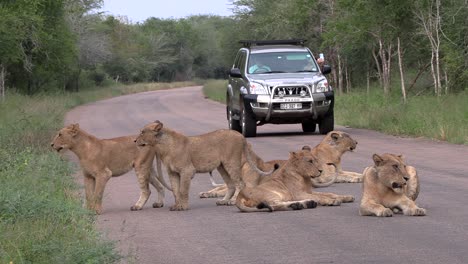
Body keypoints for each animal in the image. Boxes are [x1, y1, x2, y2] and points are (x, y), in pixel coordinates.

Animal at [133, 121, 272, 210]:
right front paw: (176, 205)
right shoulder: (172, 172)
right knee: (231, 185)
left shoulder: (187, 170)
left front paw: (183, 207)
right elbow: (176, 190)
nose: (134, 141)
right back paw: (223, 201)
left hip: (231, 163)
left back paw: (232, 201)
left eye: (142, 132)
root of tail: (240, 134)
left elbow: (183, 190)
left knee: (240, 184)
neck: (162, 146)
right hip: (222, 167)